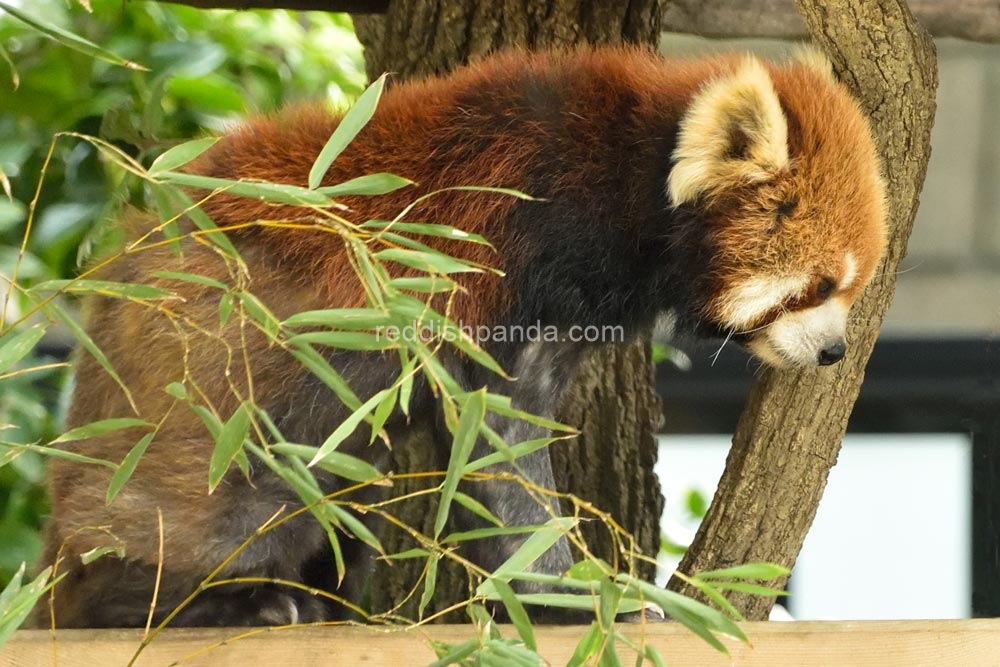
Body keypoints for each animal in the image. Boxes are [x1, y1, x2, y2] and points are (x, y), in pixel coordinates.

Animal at [35, 45, 888, 628]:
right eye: (816, 285)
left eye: (849, 287)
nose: (835, 352)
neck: (626, 176)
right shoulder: (511, 250)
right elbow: (500, 442)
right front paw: (574, 594)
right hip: (214, 425)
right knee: (194, 527)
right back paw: (225, 602)